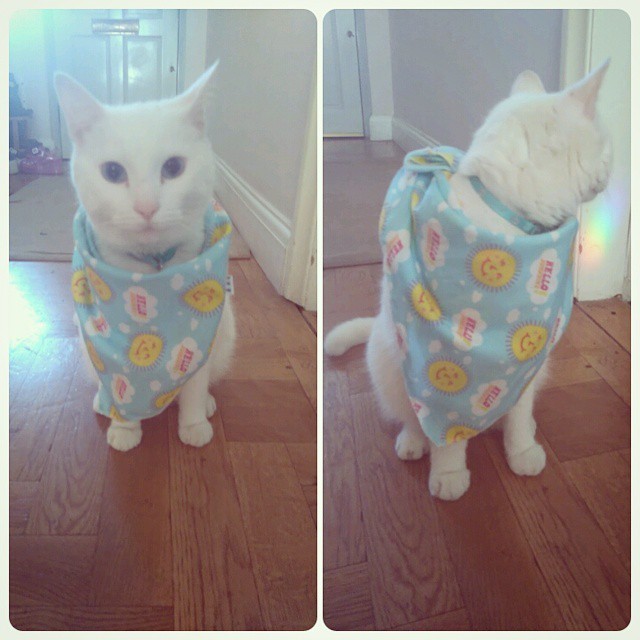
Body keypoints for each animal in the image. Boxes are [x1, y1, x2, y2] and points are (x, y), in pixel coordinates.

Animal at [56, 65, 236, 452]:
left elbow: (194, 387)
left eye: (173, 167)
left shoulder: (202, 343)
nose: (147, 207)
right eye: (112, 172)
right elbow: (118, 389)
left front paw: (194, 423)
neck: (150, 274)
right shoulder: (109, 359)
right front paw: (124, 429)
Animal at [328, 61, 612, 500]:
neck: (508, 223)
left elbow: (518, 417)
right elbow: (446, 438)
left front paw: (521, 450)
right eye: (606, 146)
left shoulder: (526, 366)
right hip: (388, 361)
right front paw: (447, 473)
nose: (613, 169)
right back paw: (412, 442)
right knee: (410, 418)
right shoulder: (441, 383)